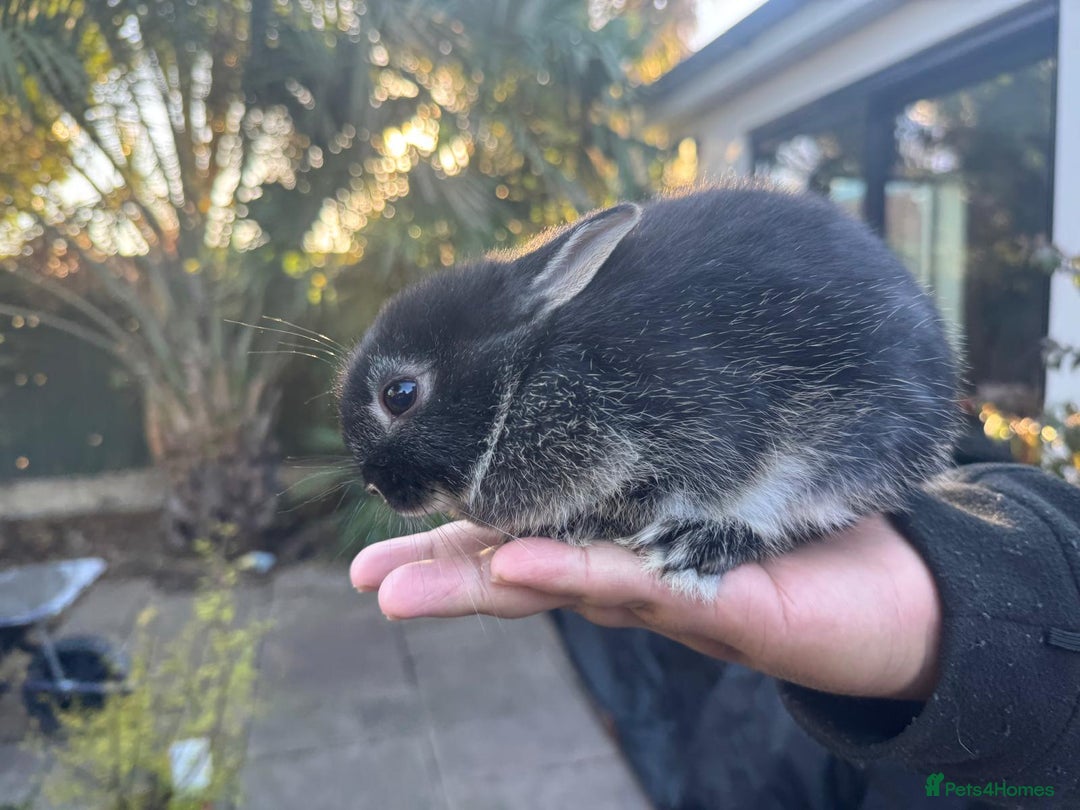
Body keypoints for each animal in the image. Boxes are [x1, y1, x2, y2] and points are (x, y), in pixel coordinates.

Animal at [339, 184, 960, 599]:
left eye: (399, 394)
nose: (375, 486)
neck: (526, 373)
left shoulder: (701, 422)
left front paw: (590, 524)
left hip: (844, 449)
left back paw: (700, 544)